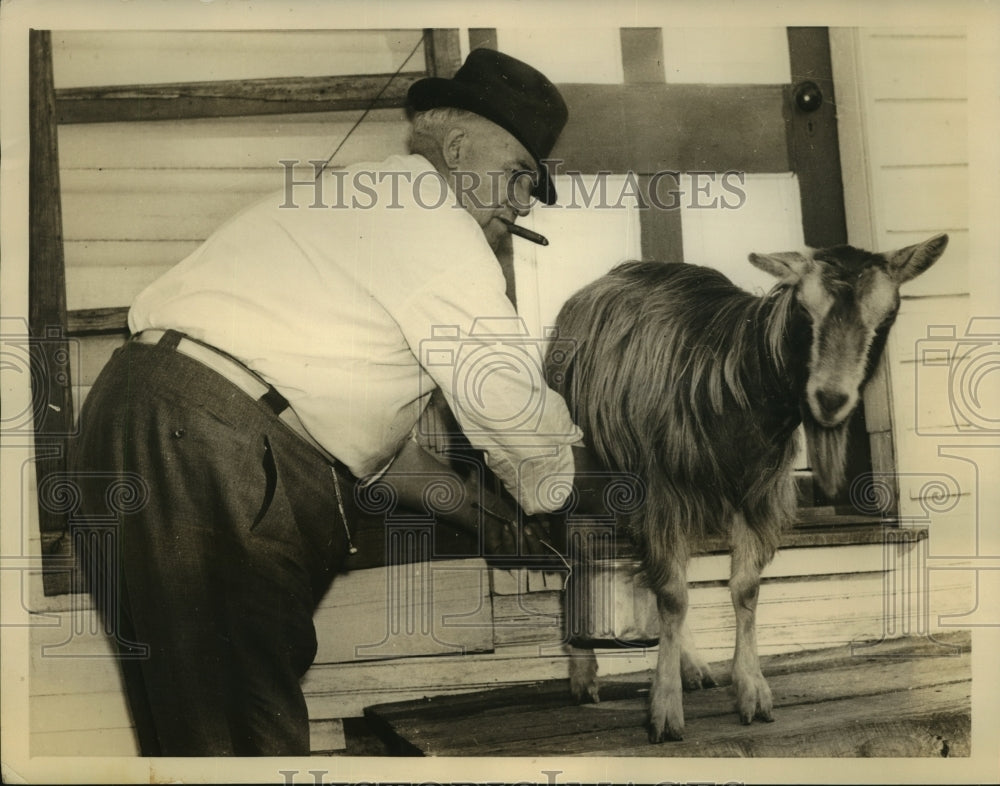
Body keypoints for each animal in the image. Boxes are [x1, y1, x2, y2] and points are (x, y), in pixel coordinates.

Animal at [544, 234, 948, 743]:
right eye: (804, 309)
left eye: (888, 314)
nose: (830, 400)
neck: (735, 383)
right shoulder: (661, 490)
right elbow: (673, 594)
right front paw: (665, 710)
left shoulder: (756, 494)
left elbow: (743, 590)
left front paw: (752, 691)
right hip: (577, 469)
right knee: (577, 560)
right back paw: (584, 675)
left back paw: (693, 666)